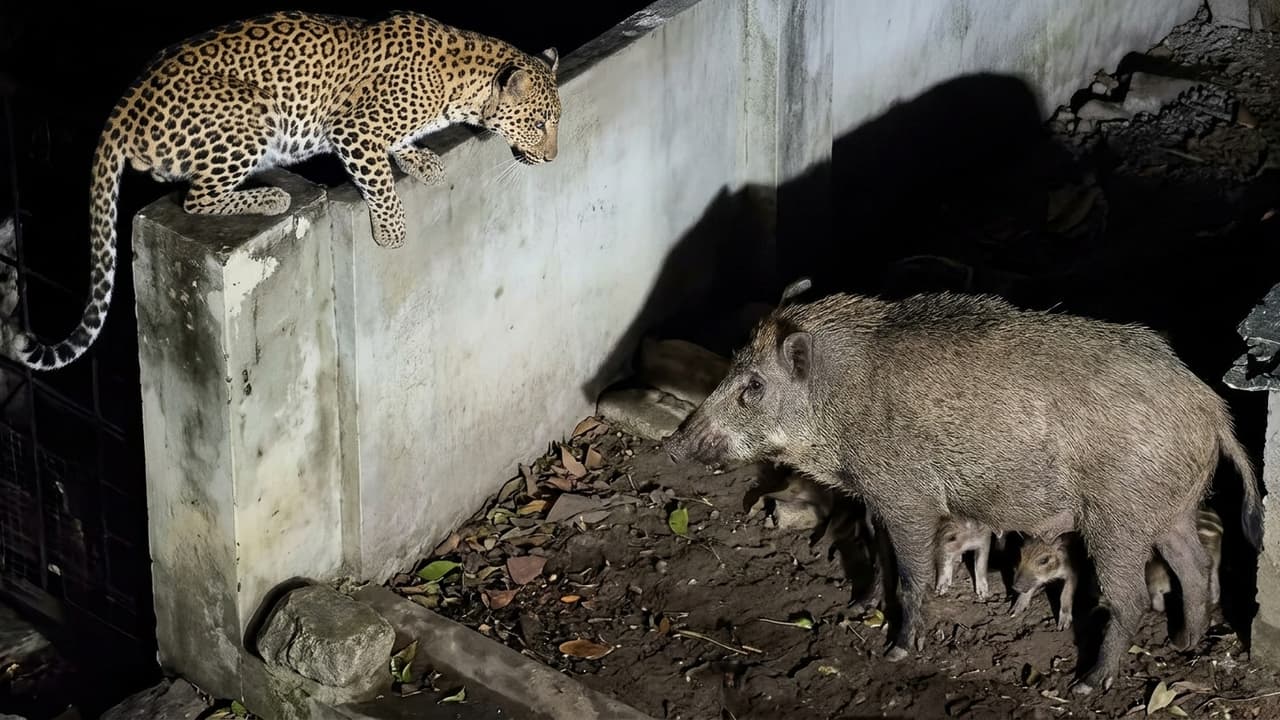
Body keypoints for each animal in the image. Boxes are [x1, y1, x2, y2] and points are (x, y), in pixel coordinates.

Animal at [6, 10, 562, 371]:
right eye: (538, 124)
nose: (554, 158)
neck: (466, 86)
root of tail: (124, 107)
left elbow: (398, 148)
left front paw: (419, 158)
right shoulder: (353, 129)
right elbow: (377, 180)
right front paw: (391, 230)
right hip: (250, 115)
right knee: (197, 197)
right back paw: (269, 195)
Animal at [662, 282, 1261, 695]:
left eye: (753, 386)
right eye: (733, 366)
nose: (671, 445)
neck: (840, 403)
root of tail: (1213, 410)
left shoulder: (907, 496)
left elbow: (911, 575)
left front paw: (898, 652)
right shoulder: (877, 497)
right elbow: (879, 558)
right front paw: (857, 610)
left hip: (1120, 517)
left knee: (1131, 595)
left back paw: (1087, 685)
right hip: (1172, 509)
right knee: (1192, 567)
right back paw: (1184, 644)